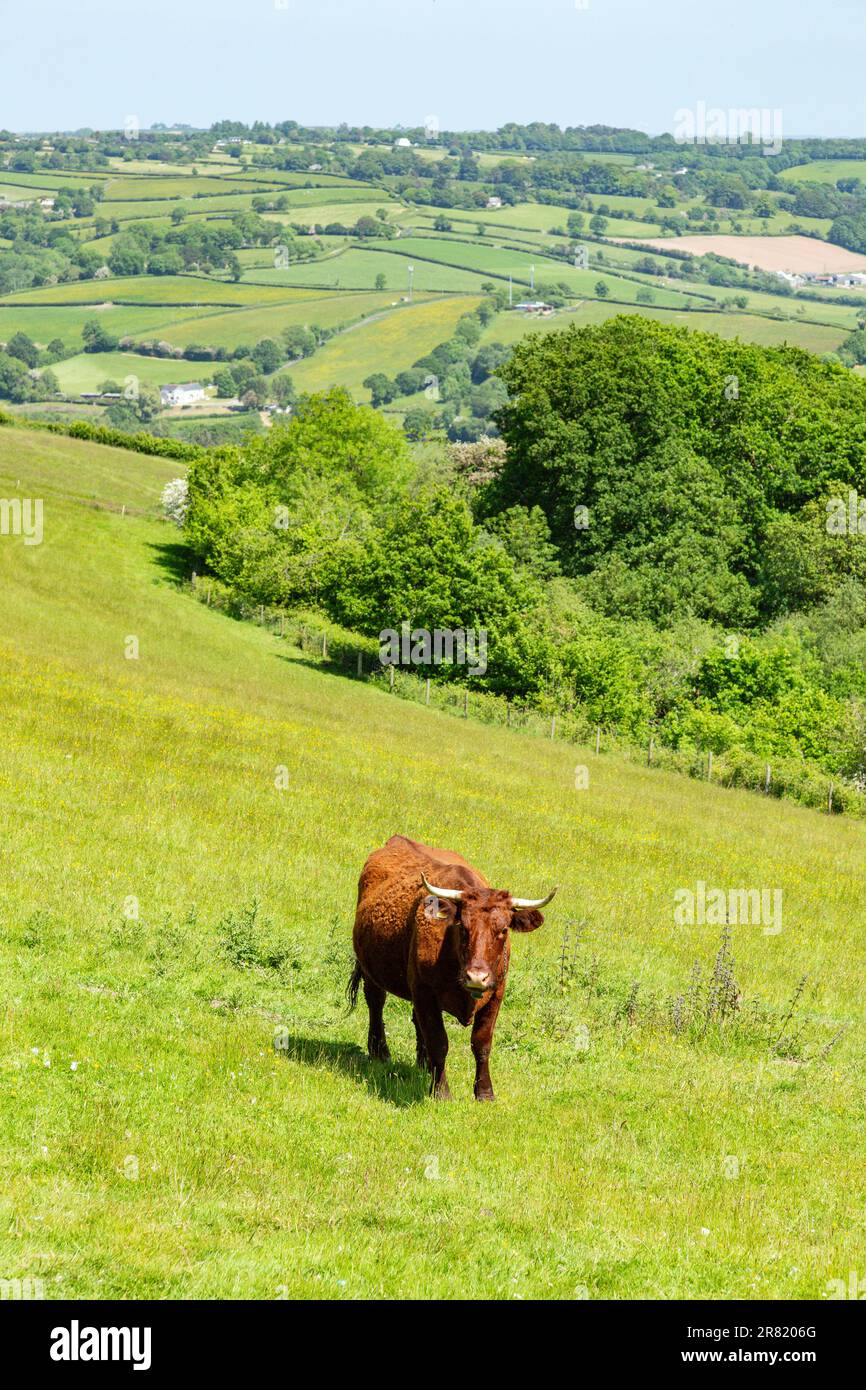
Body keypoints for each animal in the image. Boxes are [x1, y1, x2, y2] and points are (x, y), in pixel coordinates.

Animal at [348, 835, 556, 1100]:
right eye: (463, 928)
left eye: (503, 930)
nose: (476, 977)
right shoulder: (425, 992)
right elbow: (439, 1041)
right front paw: (440, 1091)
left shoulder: (496, 994)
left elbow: (481, 1043)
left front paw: (484, 1092)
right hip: (370, 969)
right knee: (376, 1002)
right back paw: (380, 1051)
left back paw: (423, 1063)